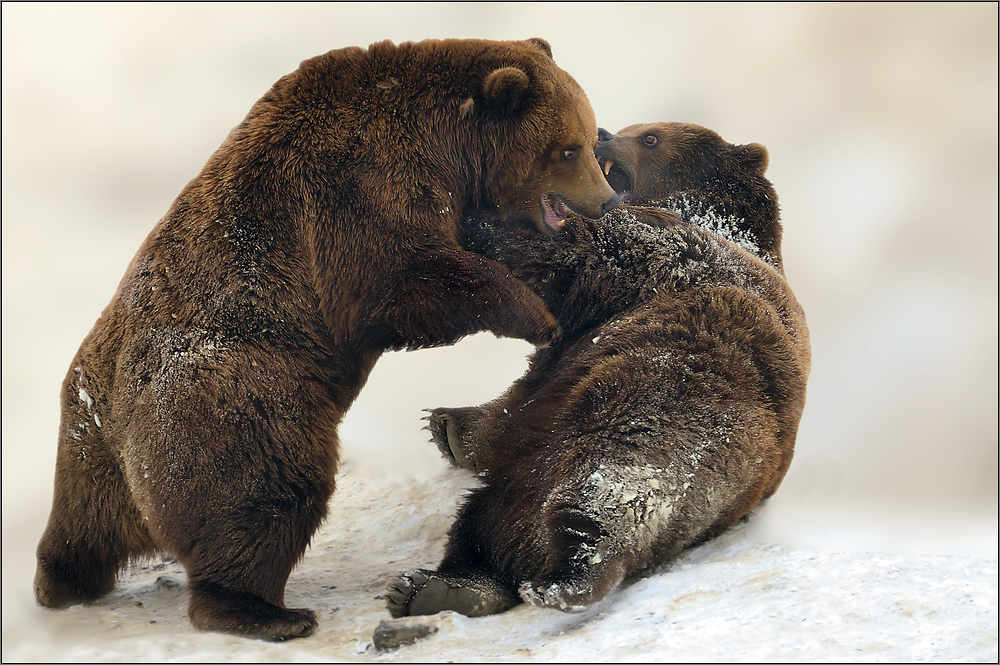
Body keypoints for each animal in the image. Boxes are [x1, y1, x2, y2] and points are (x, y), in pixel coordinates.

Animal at [35, 37, 620, 640]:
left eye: (584, 134)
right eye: (569, 149)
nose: (606, 200)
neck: (446, 144)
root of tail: (110, 413)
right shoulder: (355, 184)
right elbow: (398, 276)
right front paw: (537, 315)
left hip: (88, 446)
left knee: (83, 525)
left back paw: (62, 581)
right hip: (233, 398)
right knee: (263, 491)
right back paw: (266, 611)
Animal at [386, 120, 808, 616]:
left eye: (650, 137)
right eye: (630, 128)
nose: (603, 133)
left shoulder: (658, 258)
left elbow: (564, 252)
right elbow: (513, 397)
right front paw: (448, 426)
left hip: (680, 407)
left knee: (610, 480)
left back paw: (570, 575)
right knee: (490, 521)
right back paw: (446, 586)